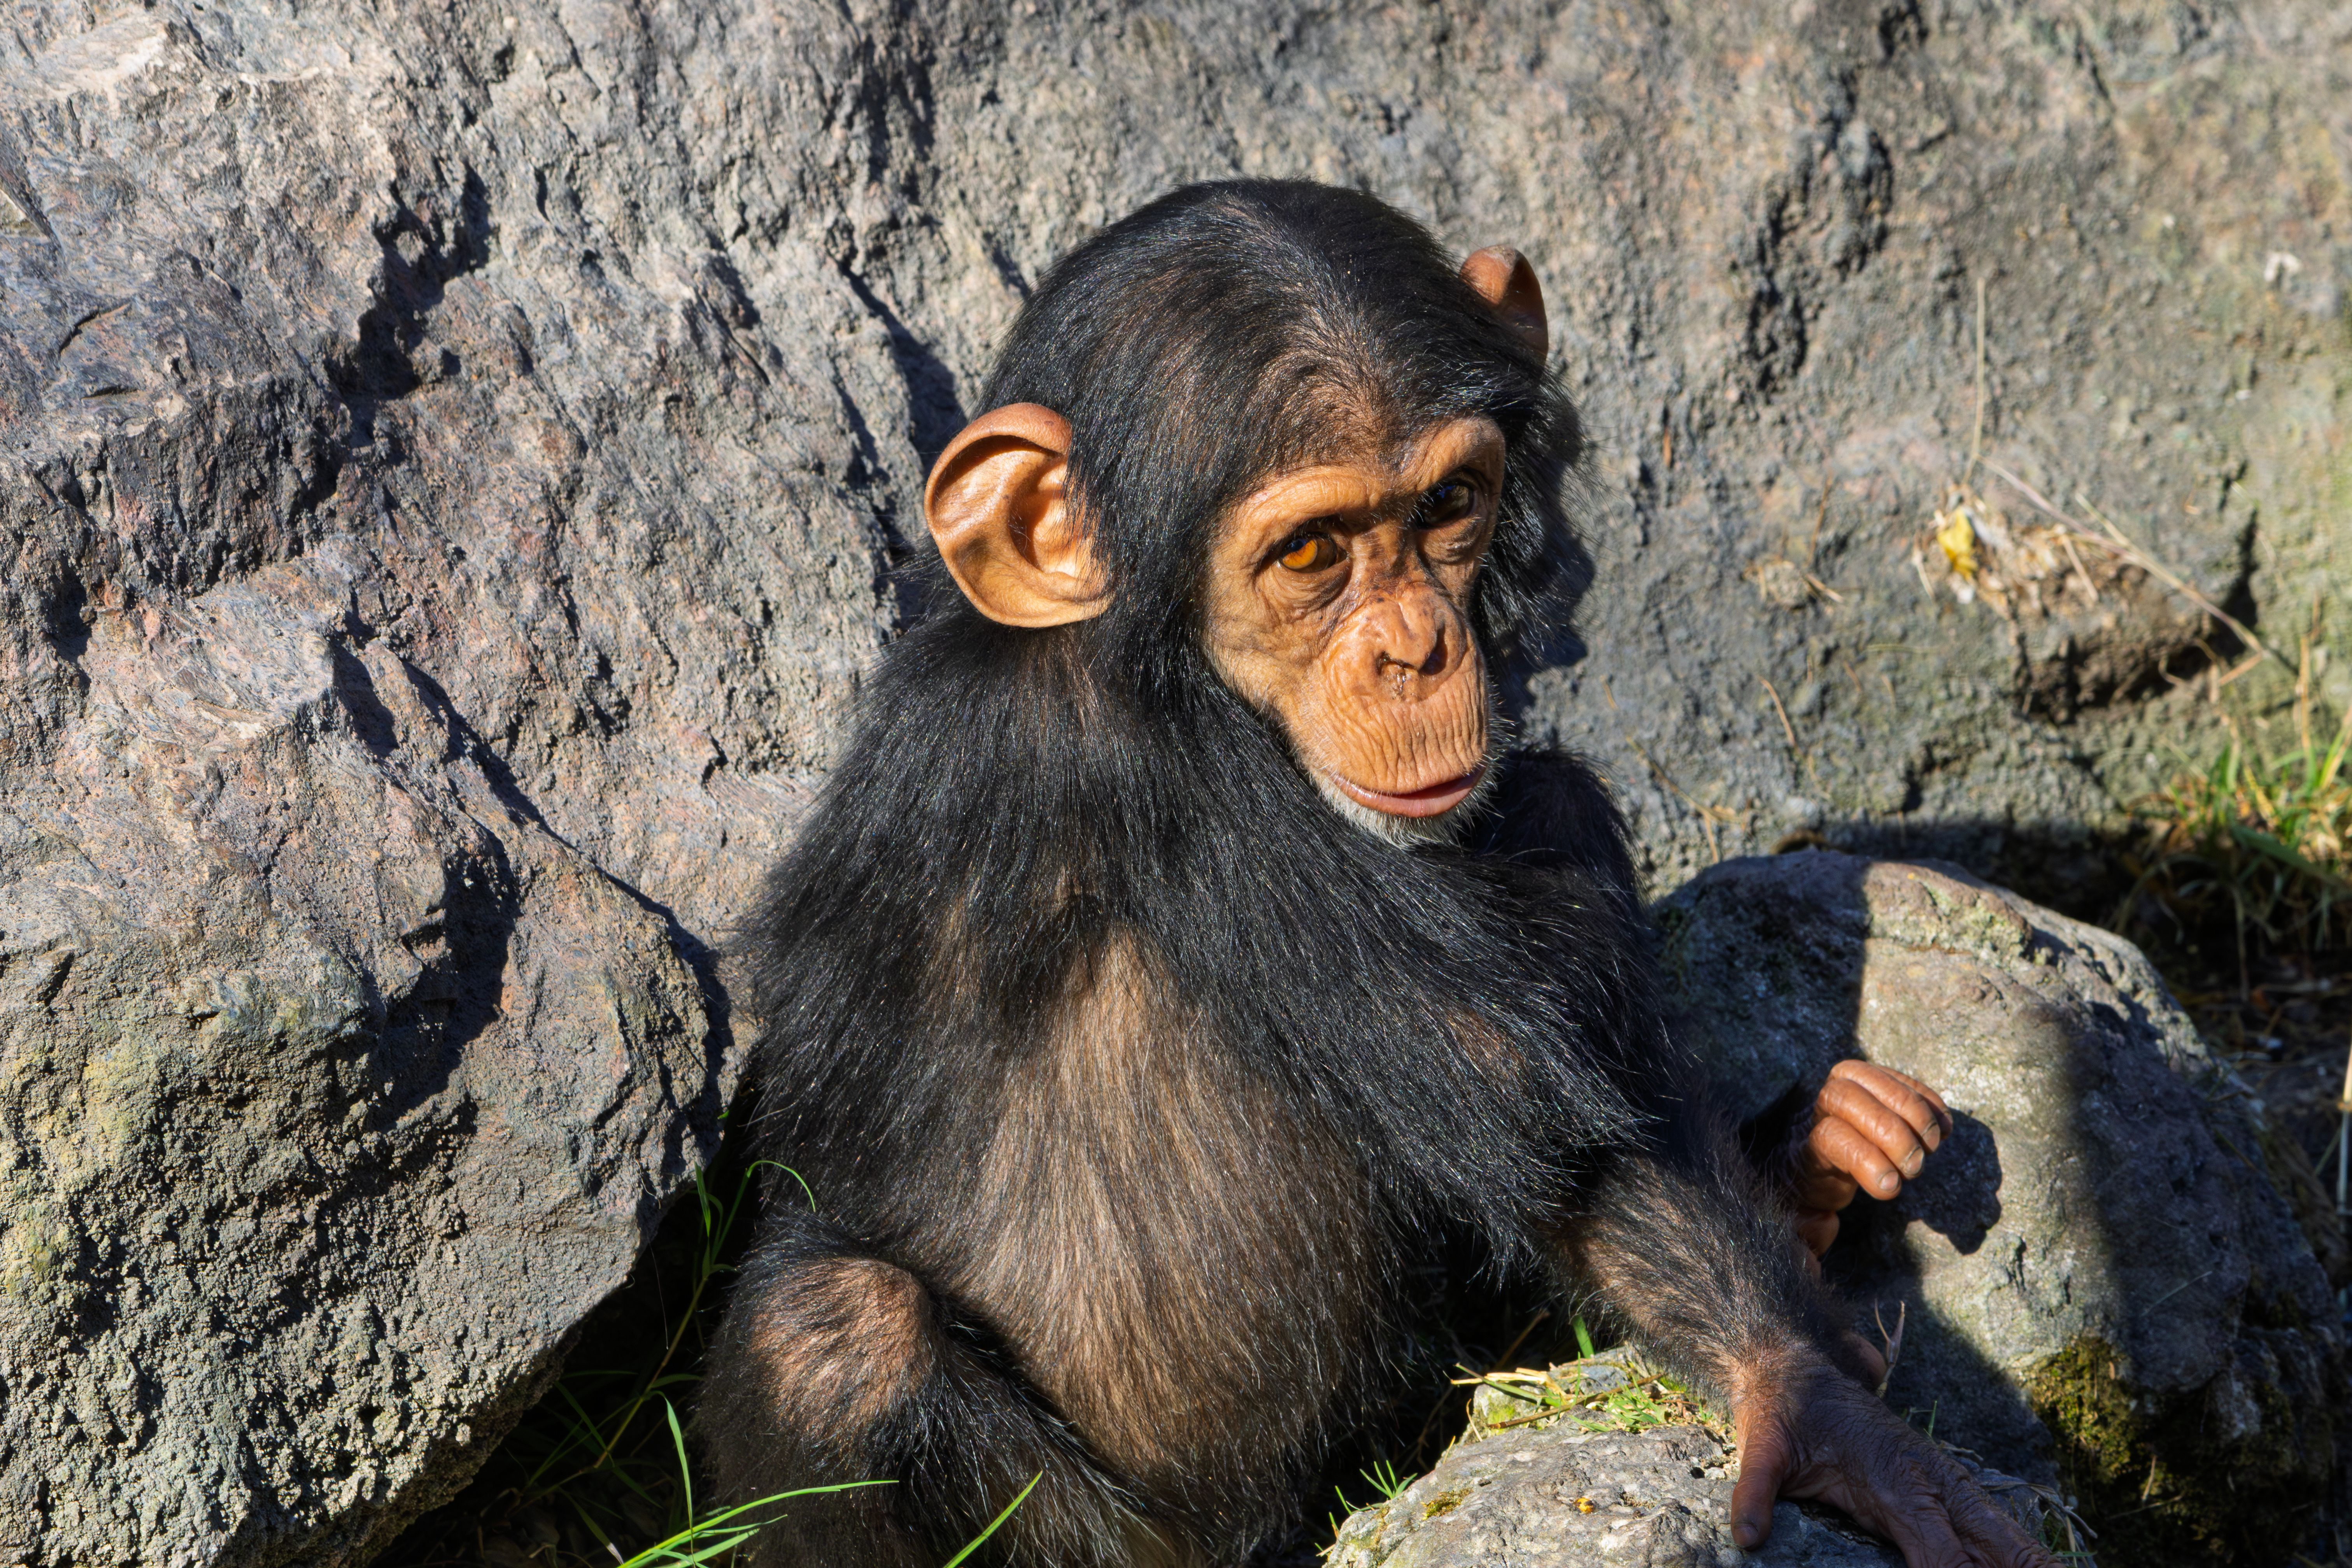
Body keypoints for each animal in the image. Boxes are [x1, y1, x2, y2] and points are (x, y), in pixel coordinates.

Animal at [700, 180, 2049, 1568]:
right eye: (1309, 552)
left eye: (1449, 501)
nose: (1417, 648)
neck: (1156, 657)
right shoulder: (1148, 769)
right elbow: (1506, 1079)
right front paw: (1803, 1385)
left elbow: (1580, 1144)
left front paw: (1812, 1397)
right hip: (1096, 1537)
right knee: (832, 1336)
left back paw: (1820, 1155)